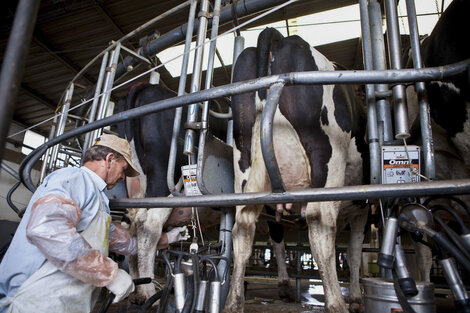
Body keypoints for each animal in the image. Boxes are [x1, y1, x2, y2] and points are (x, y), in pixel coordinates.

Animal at [224, 27, 370, 312]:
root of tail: (278, 37)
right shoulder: (362, 207)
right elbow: (355, 252)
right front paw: (357, 298)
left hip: (245, 163)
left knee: (243, 228)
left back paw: (234, 302)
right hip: (327, 158)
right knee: (321, 228)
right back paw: (336, 303)